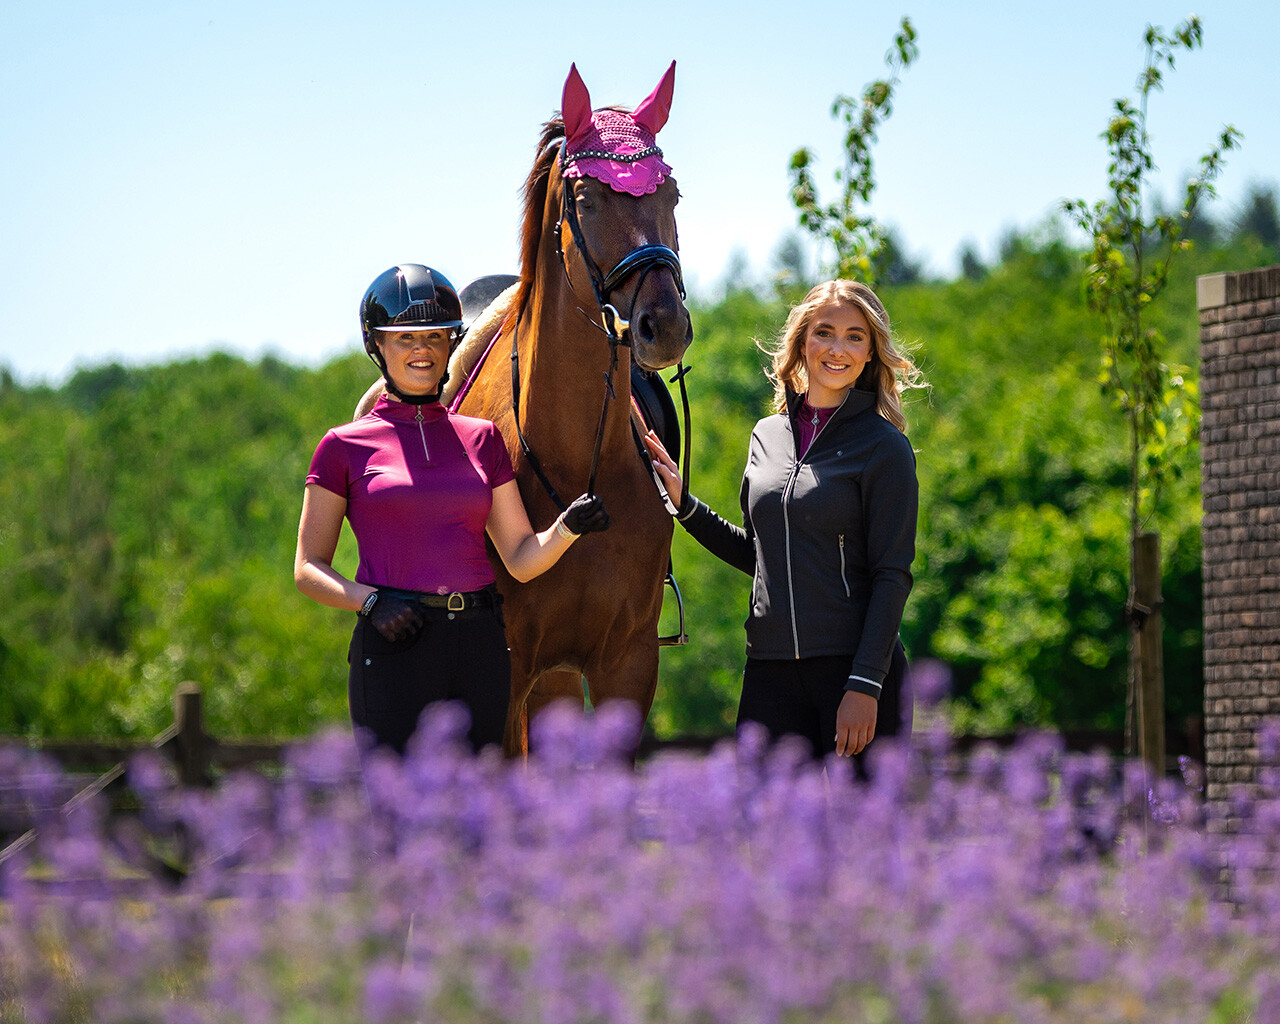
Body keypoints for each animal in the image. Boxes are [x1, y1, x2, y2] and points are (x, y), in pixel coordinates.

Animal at [450, 63, 692, 754]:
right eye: (585, 200)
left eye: (672, 196)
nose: (665, 326)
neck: (573, 457)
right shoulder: (506, 671)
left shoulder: (627, 662)